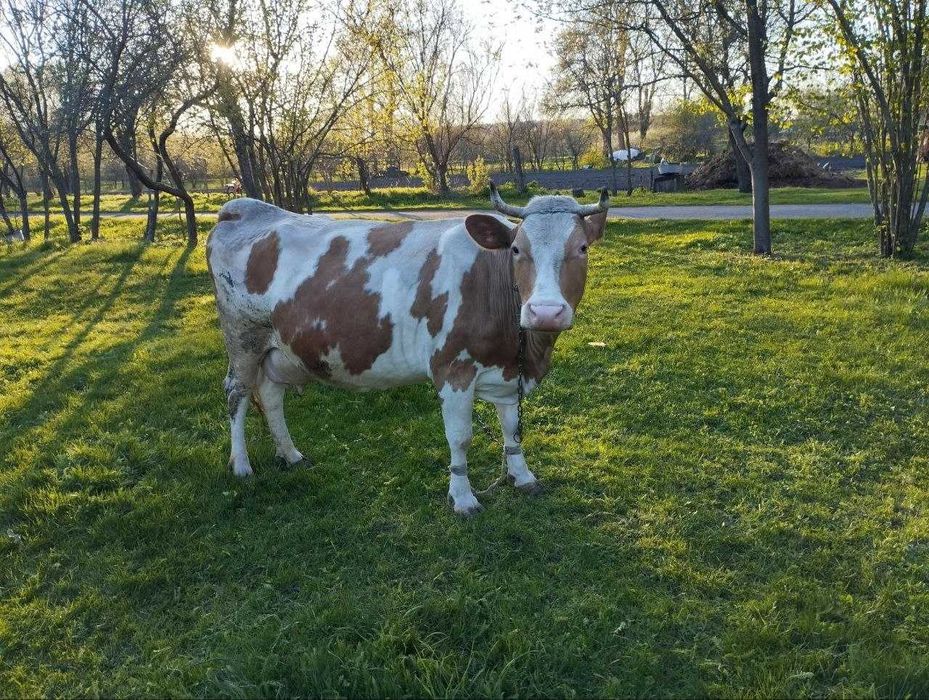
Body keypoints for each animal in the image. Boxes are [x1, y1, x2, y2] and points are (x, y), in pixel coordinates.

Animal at [206, 184, 610, 515]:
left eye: (582, 248)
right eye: (516, 249)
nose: (545, 311)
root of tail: (244, 208)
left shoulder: (508, 371)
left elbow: (512, 431)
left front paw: (522, 476)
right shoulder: (452, 369)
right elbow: (460, 438)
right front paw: (463, 498)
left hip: (279, 349)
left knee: (271, 396)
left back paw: (291, 455)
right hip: (242, 337)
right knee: (236, 394)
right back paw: (241, 464)